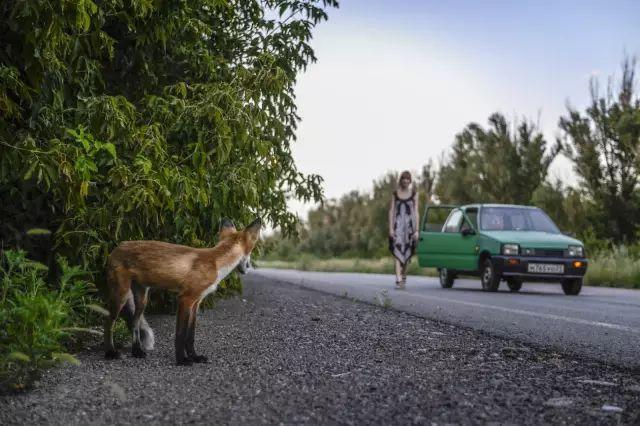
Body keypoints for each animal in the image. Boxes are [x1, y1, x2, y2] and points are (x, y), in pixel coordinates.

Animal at [102, 218, 260, 364]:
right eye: (251, 252)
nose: (248, 267)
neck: (216, 263)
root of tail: (118, 246)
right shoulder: (185, 298)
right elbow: (180, 334)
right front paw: (182, 359)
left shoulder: (196, 302)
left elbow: (190, 336)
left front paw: (194, 357)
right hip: (120, 296)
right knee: (108, 322)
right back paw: (110, 352)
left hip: (142, 300)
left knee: (135, 323)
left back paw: (137, 351)